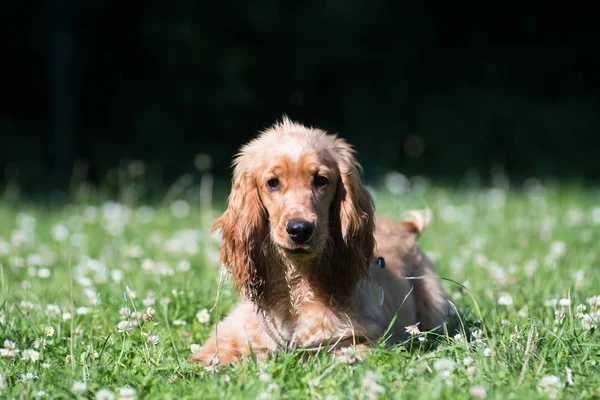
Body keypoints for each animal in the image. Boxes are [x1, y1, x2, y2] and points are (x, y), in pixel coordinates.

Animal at [190, 116, 448, 366]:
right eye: (272, 182)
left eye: (321, 180)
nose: (300, 230)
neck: (295, 285)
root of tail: (406, 228)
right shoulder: (233, 332)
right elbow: (207, 357)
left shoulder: (355, 339)